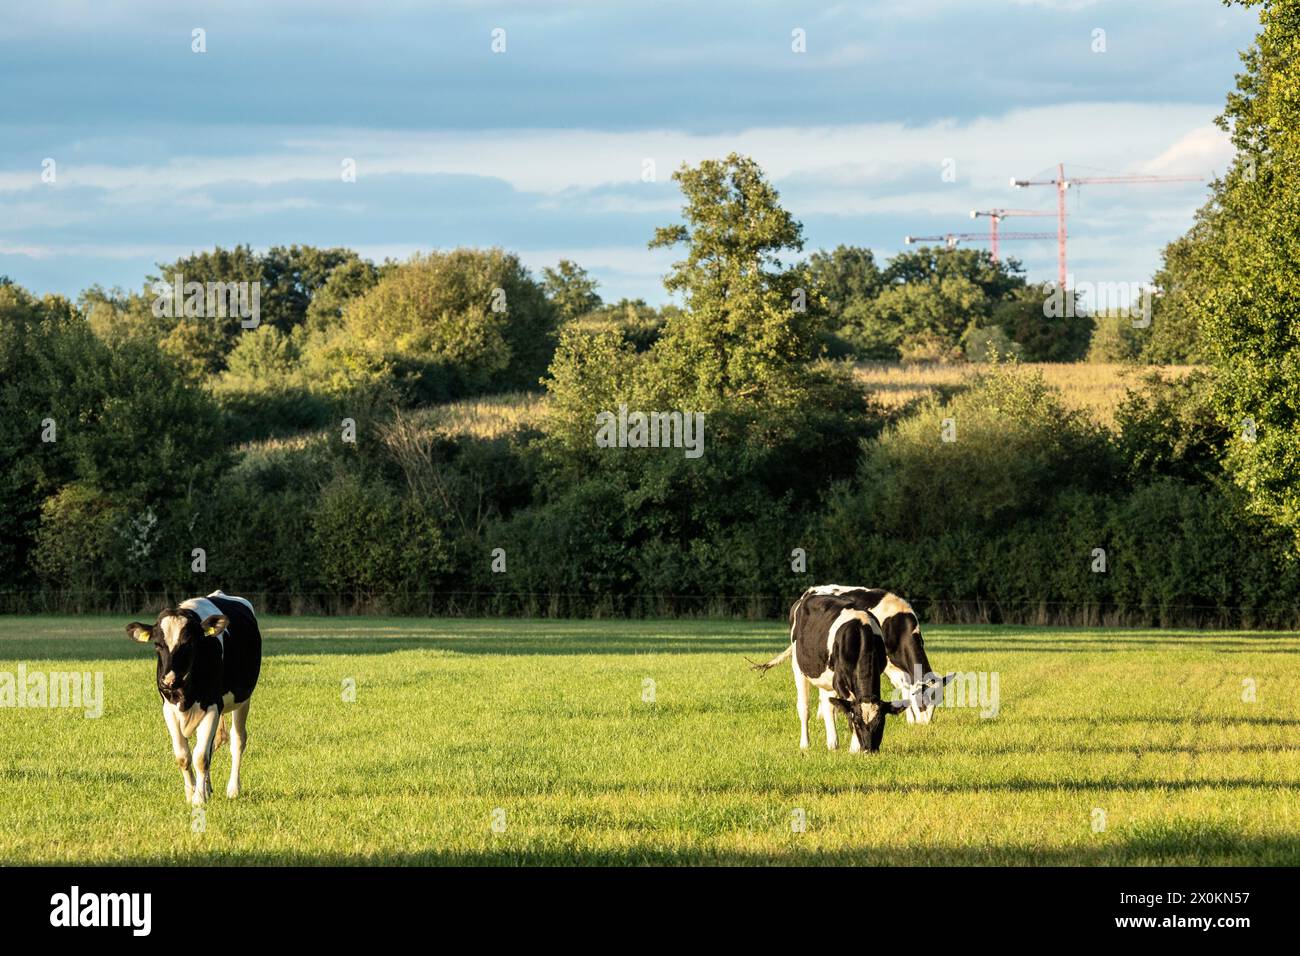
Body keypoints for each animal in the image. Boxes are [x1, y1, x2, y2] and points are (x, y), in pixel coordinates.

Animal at [125, 590, 262, 805]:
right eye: (157, 644)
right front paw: (192, 793)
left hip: (243, 699)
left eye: (188, 642)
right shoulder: (168, 709)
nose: (168, 680)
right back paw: (207, 787)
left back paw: (233, 788)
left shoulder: (212, 706)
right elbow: (184, 756)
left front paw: (199, 798)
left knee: (237, 740)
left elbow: (200, 757)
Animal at [752, 585, 954, 751]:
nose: (926, 724)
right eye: (922, 703)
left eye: (938, 702)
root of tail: (807, 594)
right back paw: (805, 743)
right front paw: (855, 746)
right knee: (804, 707)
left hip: (826, 675)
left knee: (827, 702)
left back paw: (832, 741)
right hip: (799, 667)